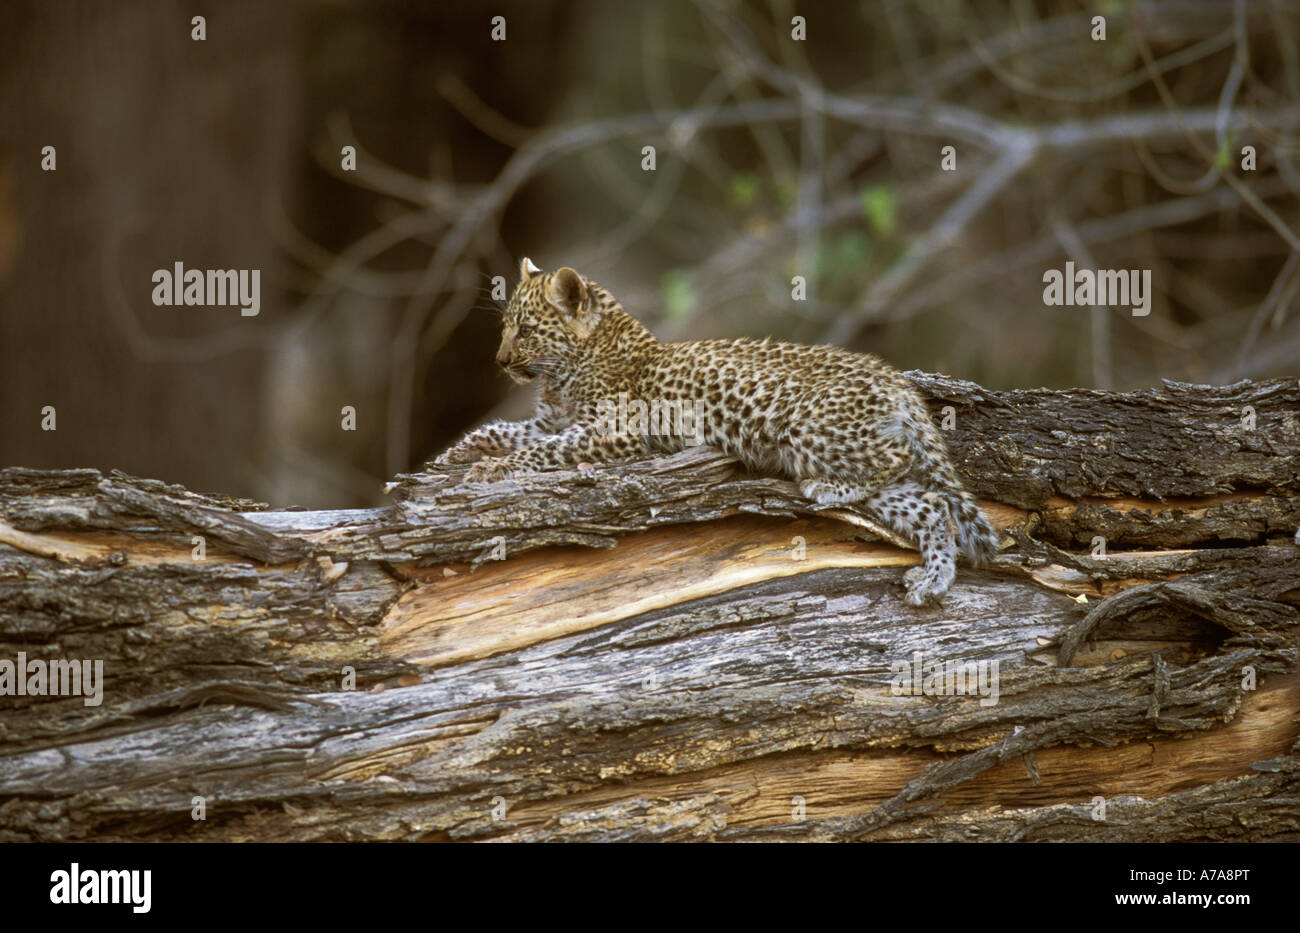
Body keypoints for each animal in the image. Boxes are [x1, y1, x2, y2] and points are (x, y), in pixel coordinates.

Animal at [434, 257, 999, 605]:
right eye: (504, 328)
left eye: (526, 330)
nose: (500, 360)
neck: (563, 373)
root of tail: (895, 381)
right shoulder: (552, 420)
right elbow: (506, 430)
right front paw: (456, 456)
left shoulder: (612, 432)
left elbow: (543, 451)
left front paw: (492, 470)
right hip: (867, 472)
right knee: (934, 505)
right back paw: (934, 581)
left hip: (806, 429)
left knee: (896, 460)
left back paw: (829, 489)